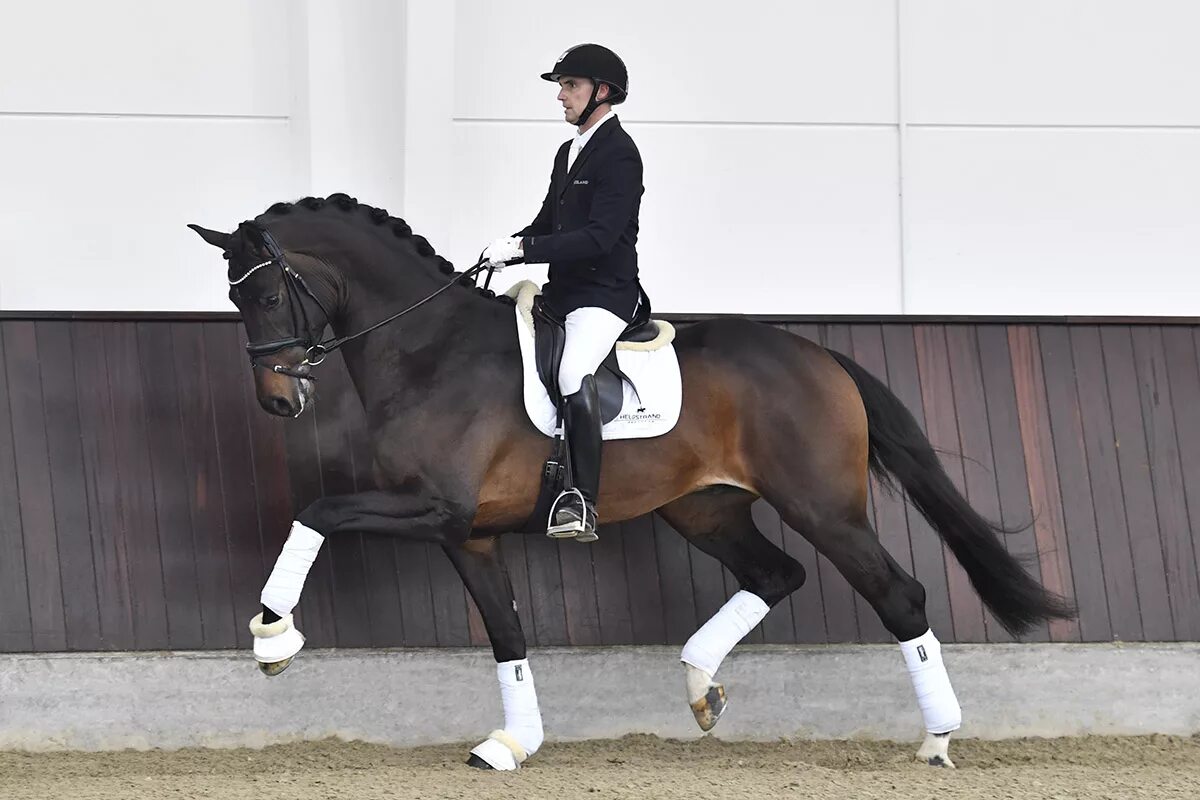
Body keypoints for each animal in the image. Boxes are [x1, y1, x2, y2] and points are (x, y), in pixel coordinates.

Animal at [189, 191, 1080, 767]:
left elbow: (316, 510)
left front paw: (274, 637)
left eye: (267, 296)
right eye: (235, 301)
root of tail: (820, 356)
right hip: (705, 508)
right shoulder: (467, 533)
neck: (430, 350)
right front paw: (512, 743)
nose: (278, 401)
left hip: (824, 507)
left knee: (898, 595)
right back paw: (701, 688)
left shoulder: (436, 509)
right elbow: (507, 635)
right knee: (775, 574)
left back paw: (936, 739)